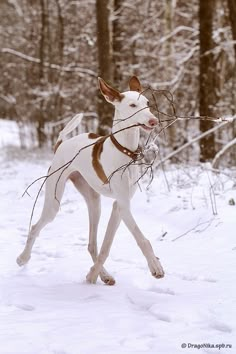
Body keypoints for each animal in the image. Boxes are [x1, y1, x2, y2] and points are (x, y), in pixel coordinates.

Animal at [17, 76, 164, 284]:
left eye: (148, 104)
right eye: (133, 105)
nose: (154, 120)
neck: (124, 150)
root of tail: (62, 144)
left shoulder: (118, 207)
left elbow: (106, 246)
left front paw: (92, 275)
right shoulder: (124, 205)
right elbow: (142, 238)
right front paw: (155, 266)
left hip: (95, 203)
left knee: (92, 244)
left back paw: (104, 275)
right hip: (54, 201)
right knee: (35, 227)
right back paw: (23, 258)